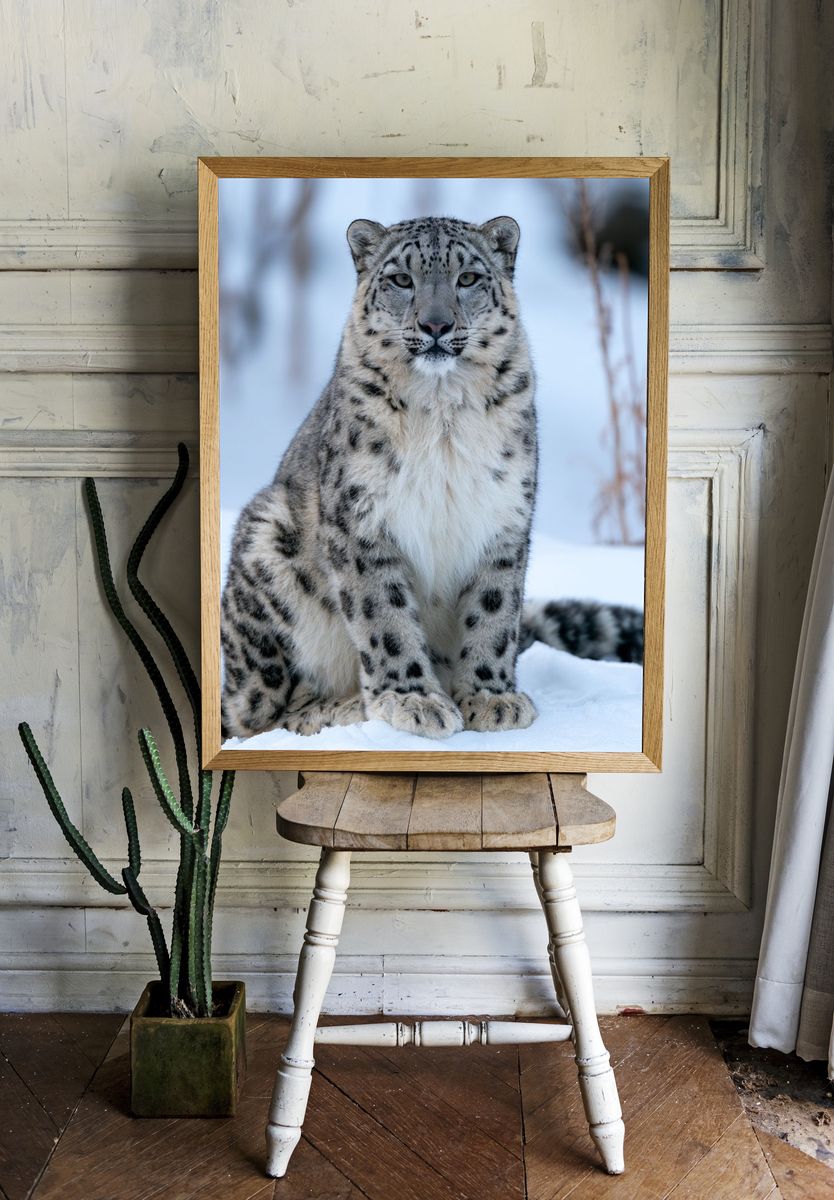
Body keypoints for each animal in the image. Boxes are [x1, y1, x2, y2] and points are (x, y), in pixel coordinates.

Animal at [220, 213, 643, 741]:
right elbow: (384, 617)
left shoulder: (503, 516)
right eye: (402, 279)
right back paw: (342, 707)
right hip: (266, 538)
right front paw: (413, 700)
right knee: (258, 714)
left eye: (468, 278)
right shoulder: (362, 521)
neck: (443, 413)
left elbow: (494, 612)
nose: (436, 324)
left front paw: (490, 696)